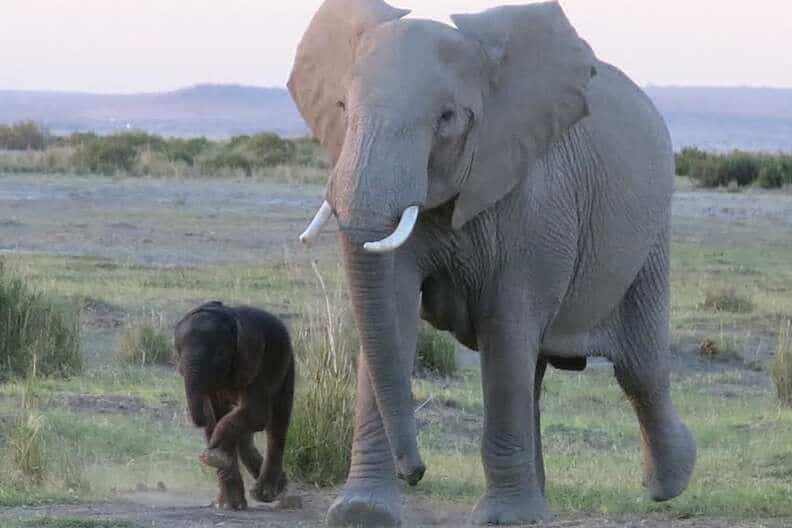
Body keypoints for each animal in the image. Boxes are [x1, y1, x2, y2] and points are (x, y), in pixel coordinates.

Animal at [174, 301, 294, 510]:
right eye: (179, 352)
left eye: (220, 354)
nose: (210, 449)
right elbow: (217, 416)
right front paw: (231, 505)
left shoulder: (255, 362)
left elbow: (256, 416)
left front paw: (214, 453)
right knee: (244, 432)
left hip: (286, 364)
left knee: (277, 423)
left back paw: (265, 494)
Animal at [288, 0, 697, 525]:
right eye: (341, 108)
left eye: (447, 118)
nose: (416, 471)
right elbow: (393, 317)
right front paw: (362, 513)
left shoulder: (536, 196)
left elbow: (506, 327)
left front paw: (505, 519)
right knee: (539, 371)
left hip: (651, 238)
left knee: (640, 367)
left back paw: (668, 483)